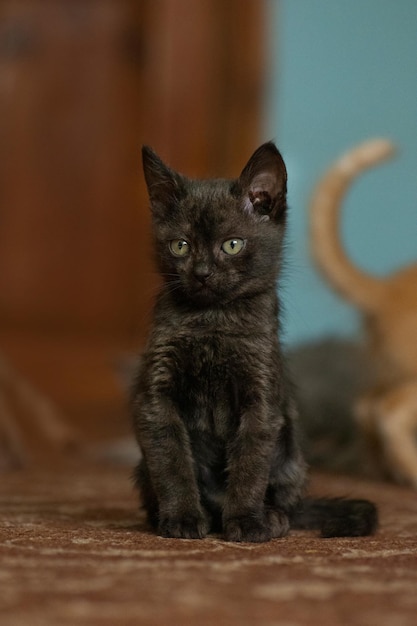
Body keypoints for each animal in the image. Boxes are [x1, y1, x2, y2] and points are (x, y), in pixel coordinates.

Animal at [131, 143, 376, 540]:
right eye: (181, 246)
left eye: (232, 245)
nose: (202, 273)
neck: (212, 320)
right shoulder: (156, 398)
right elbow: (172, 462)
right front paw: (182, 517)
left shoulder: (261, 397)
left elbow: (250, 464)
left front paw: (246, 521)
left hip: (292, 456)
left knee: (288, 502)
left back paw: (272, 517)